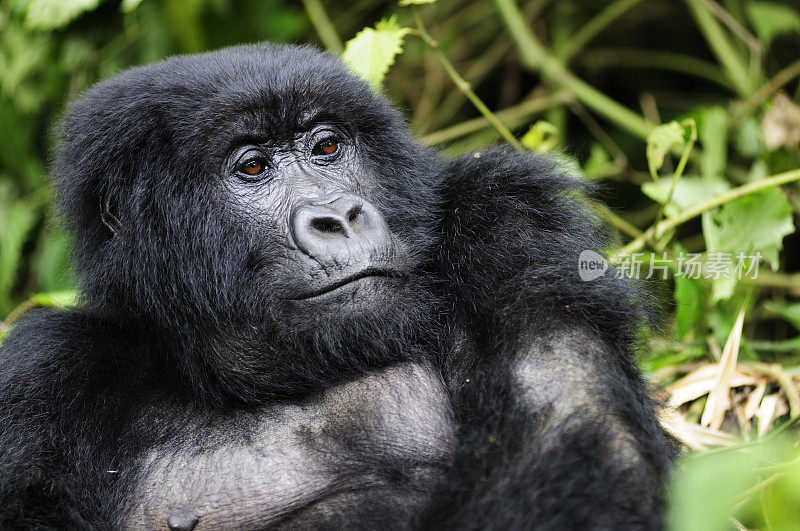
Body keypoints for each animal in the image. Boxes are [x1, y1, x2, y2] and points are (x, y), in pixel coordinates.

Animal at [0, 43, 676, 528]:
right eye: (253, 166)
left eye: (327, 146)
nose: (339, 216)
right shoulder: (41, 373)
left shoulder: (505, 218)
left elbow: (580, 436)